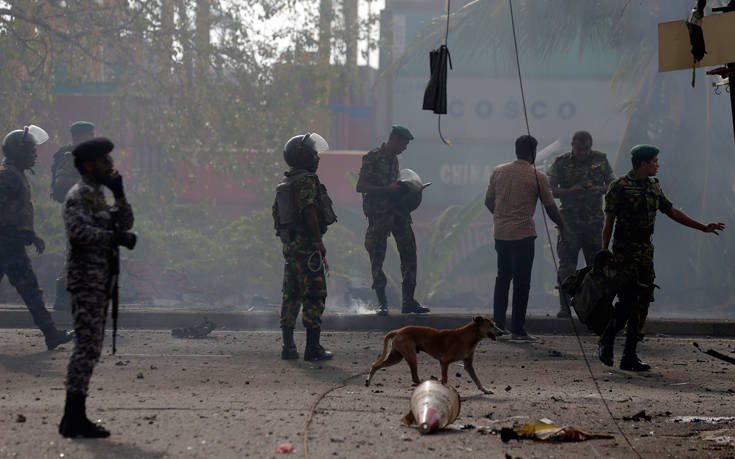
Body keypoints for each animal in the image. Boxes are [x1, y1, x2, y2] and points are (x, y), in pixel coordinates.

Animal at [366, 316, 504, 396]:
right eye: (491, 325)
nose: (502, 332)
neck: (468, 337)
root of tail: (399, 330)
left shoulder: (468, 364)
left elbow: (477, 379)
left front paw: (485, 390)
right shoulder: (445, 362)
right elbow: (445, 378)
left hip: (396, 357)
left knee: (375, 365)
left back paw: (368, 380)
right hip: (410, 356)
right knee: (415, 377)